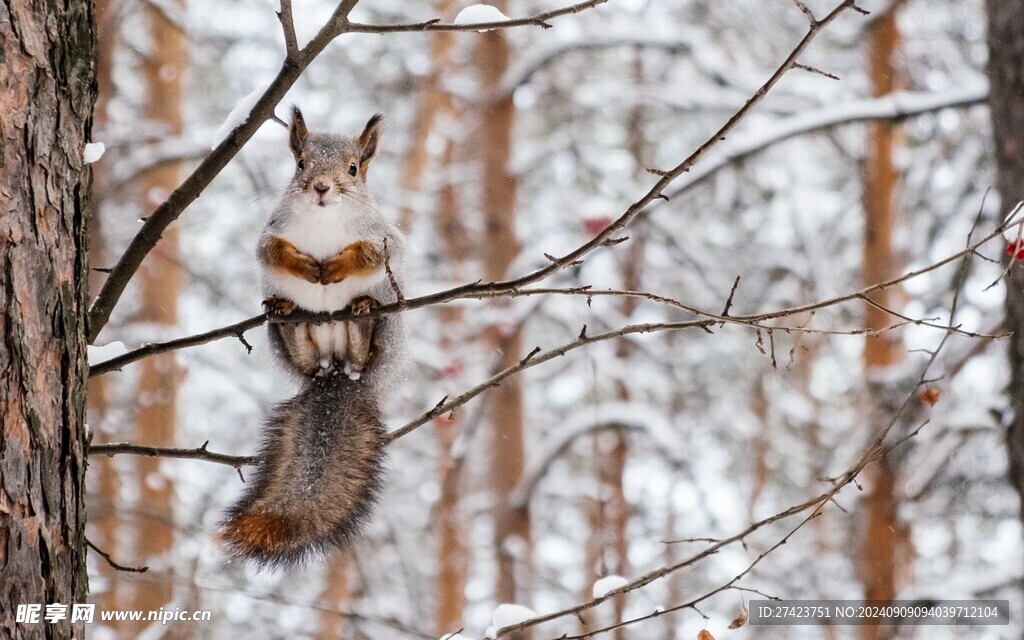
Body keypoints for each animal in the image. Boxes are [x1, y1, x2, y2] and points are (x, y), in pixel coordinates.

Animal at [222, 105, 405, 569]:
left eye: (354, 169)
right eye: (301, 163)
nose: (322, 188)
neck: (324, 220)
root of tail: (335, 371)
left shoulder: (384, 238)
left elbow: (373, 254)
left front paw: (336, 267)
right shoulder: (270, 233)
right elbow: (271, 252)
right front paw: (305, 267)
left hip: (384, 333)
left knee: (362, 347)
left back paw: (361, 313)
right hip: (286, 340)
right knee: (300, 343)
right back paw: (288, 313)